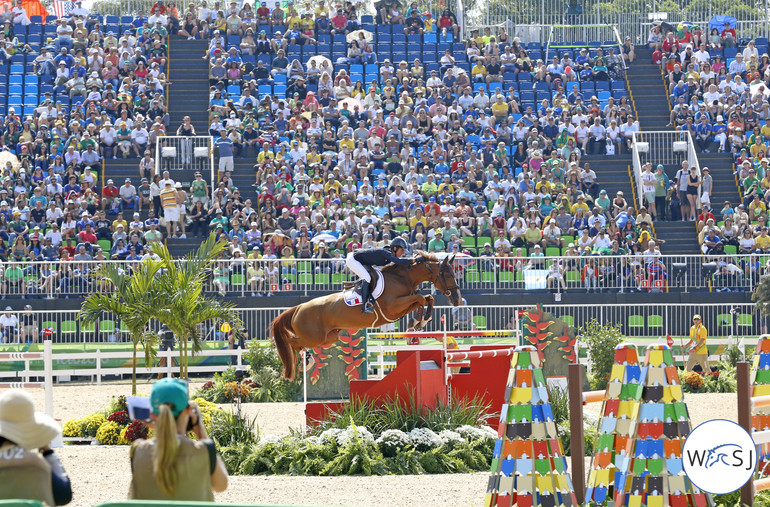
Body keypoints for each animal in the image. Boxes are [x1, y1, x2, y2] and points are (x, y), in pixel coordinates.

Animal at [272, 252, 460, 380]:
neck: (401, 278)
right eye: (447, 274)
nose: (457, 300)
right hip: (313, 337)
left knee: (299, 342)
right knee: (292, 341)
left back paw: (306, 360)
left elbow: (427, 298)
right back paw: (306, 361)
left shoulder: (402, 306)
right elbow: (421, 298)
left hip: (328, 337)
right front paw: (421, 319)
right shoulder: (393, 307)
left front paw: (423, 319)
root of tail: (298, 307)